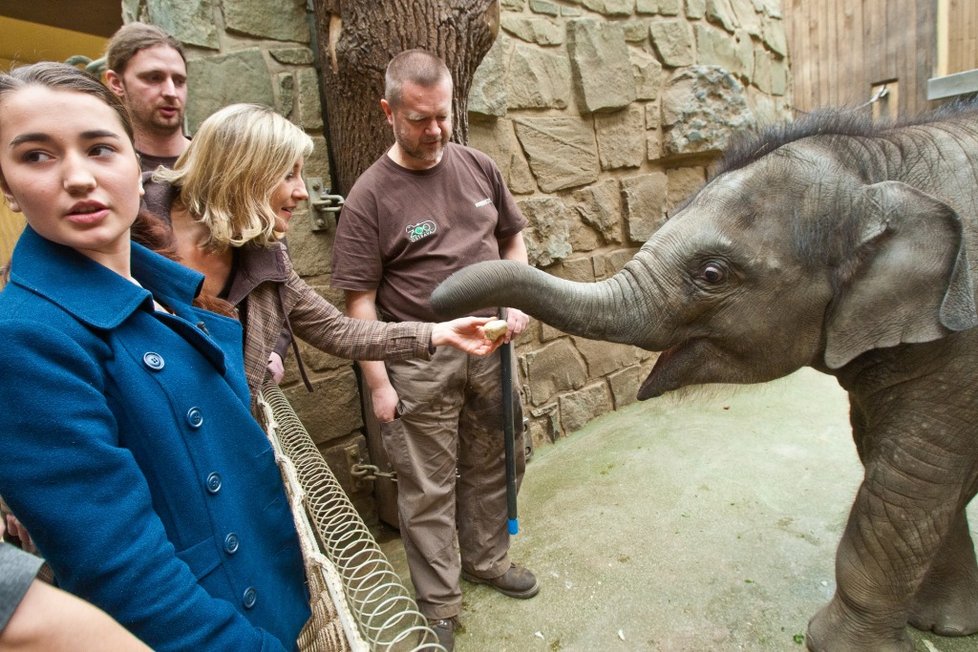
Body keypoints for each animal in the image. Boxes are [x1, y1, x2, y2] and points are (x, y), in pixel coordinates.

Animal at [430, 103, 976, 652]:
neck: (879, 157)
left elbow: (911, 474)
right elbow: (894, 457)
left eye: (712, 274)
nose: (437, 304)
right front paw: (942, 625)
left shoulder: (956, 344)